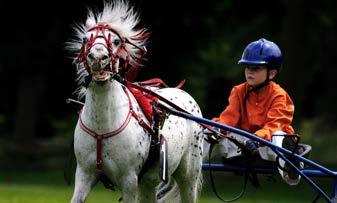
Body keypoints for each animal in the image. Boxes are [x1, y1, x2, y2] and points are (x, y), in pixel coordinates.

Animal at [65, 0, 202, 202]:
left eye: (115, 41)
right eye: (85, 39)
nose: (97, 57)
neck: (102, 127)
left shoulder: (129, 180)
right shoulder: (84, 174)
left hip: (188, 177)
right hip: (148, 183)